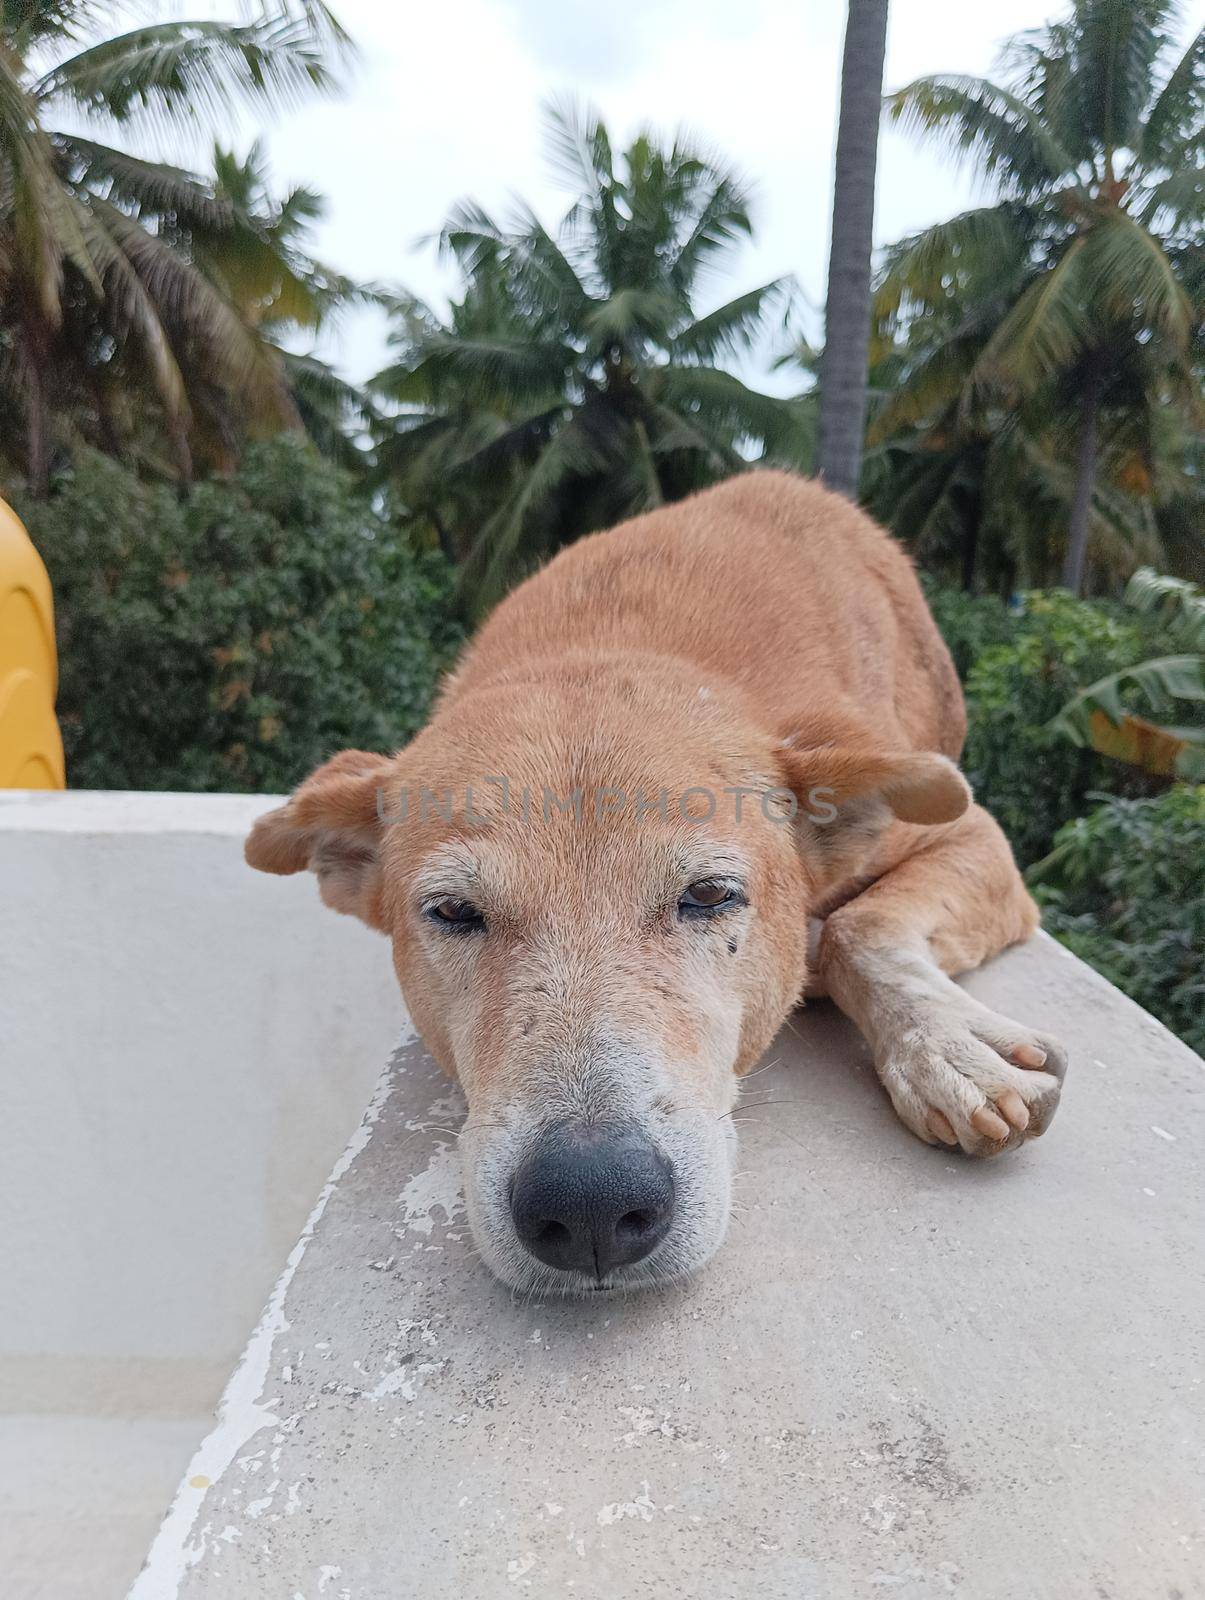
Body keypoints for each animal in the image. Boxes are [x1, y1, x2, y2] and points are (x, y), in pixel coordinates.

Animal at [244, 467, 1062, 1292]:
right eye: (452, 912)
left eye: (707, 896)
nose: (589, 1203)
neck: (610, 639)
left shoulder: (969, 831)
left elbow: (856, 929)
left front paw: (946, 1048)